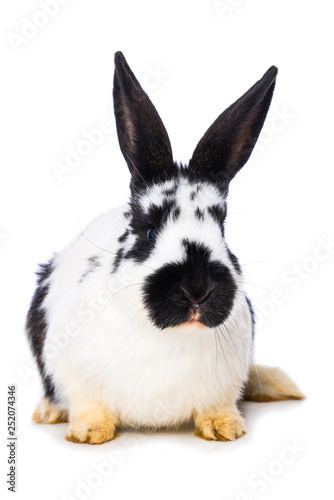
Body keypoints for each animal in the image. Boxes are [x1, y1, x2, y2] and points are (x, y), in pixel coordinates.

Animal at [24, 51, 304, 446]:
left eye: (222, 228)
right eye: (149, 230)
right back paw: (49, 412)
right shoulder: (73, 371)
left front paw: (225, 428)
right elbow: (88, 403)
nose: (197, 290)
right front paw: (90, 432)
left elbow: (217, 405)